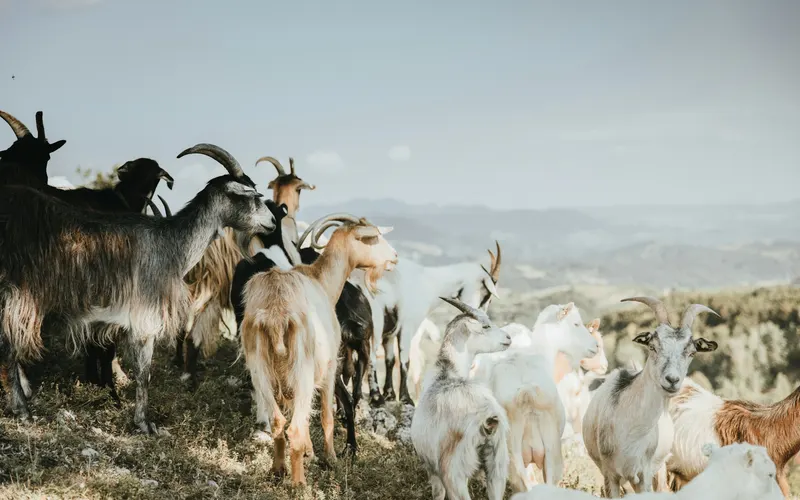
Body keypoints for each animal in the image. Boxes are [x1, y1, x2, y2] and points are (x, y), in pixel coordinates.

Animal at [0, 143, 277, 434]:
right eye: (252, 195)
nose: (272, 222)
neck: (170, 244)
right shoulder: (145, 317)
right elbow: (144, 372)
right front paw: (144, 423)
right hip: (18, 292)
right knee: (7, 346)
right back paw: (22, 410)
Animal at [240, 213, 397, 485]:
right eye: (374, 236)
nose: (394, 257)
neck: (320, 280)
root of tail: (275, 313)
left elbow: (303, 414)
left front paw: (309, 452)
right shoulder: (329, 367)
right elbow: (326, 416)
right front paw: (329, 457)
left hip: (261, 370)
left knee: (279, 422)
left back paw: (278, 470)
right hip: (301, 367)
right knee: (294, 427)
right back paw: (299, 484)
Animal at [367, 242, 502, 407]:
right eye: (487, 295)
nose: (481, 315)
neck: (427, 281)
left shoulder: (391, 333)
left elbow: (390, 360)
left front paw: (390, 395)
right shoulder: (407, 326)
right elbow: (405, 361)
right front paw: (406, 398)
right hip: (376, 325)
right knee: (371, 356)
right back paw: (375, 397)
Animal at [411, 296, 512, 500]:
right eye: (486, 326)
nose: (508, 338)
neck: (446, 372)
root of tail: (487, 421)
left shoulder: (432, 469)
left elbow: (438, 494)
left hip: (454, 474)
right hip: (497, 470)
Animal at [582, 296, 719, 497]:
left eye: (692, 352)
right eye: (652, 347)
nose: (672, 380)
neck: (632, 429)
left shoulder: (644, 473)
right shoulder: (610, 474)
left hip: (660, 467)